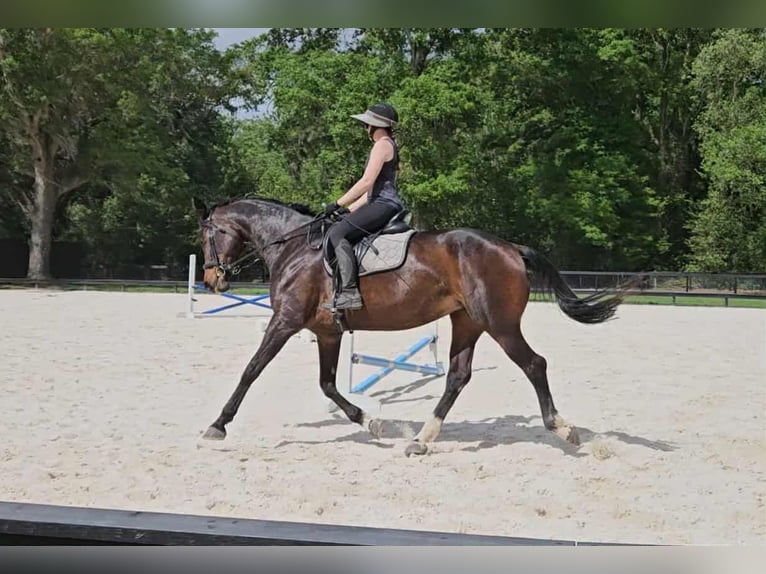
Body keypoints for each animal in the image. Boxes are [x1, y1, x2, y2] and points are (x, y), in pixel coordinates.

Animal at [193, 196, 633, 456]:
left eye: (206, 234)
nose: (213, 280)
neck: (295, 246)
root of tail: (510, 247)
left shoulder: (284, 322)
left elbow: (251, 370)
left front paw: (217, 426)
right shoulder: (327, 332)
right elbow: (328, 384)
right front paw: (371, 422)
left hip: (499, 323)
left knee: (533, 364)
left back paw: (562, 428)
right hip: (467, 321)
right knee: (458, 375)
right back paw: (422, 440)